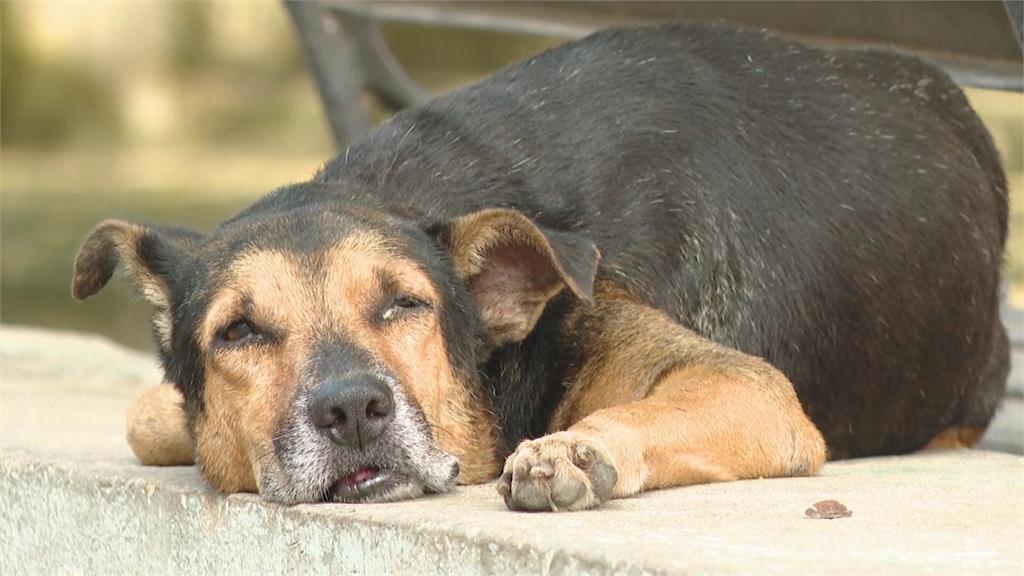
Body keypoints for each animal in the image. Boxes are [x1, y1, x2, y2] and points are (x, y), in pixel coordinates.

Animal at [70, 22, 1007, 508]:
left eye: (404, 305)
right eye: (240, 332)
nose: (353, 412)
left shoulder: (753, 390)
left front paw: (576, 452)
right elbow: (150, 416)